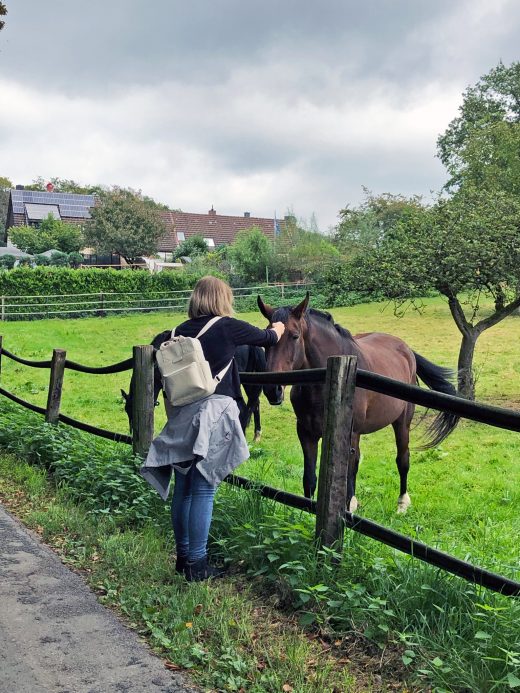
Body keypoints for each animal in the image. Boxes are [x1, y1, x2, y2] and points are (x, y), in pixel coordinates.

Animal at [121, 332, 280, 440]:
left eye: (133, 409)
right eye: (126, 410)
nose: (131, 432)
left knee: (245, 407)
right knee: (254, 404)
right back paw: (256, 434)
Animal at [256, 292, 460, 512]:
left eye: (294, 336)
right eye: (265, 341)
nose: (272, 389)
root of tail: (406, 350)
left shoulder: (349, 434)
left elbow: (346, 473)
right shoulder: (306, 434)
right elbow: (309, 480)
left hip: (402, 422)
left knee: (402, 459)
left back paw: (402, 503)